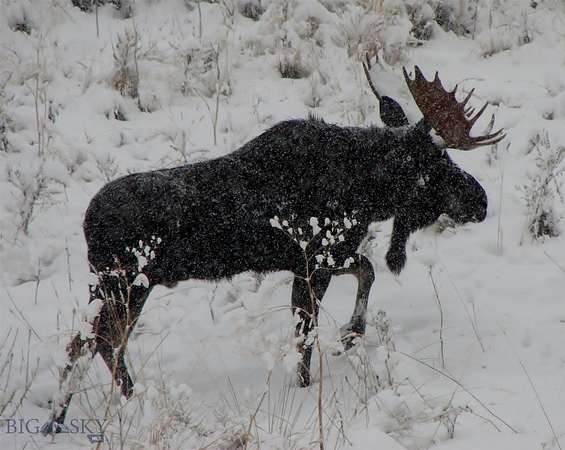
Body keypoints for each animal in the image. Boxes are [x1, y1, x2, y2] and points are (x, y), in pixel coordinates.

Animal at [42, 62, 504, 434]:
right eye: (437, 163)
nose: (480, 200)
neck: (367, 190)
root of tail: (87, 224)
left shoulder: (311, 260)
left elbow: (354, 281)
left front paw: (346, 338)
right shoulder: (316, 257)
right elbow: (314, 325)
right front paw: (328, 358)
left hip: (110, 286)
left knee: (85, 341)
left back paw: (68, 416)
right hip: (127, 283)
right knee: (101, 341)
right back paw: (119, 403)